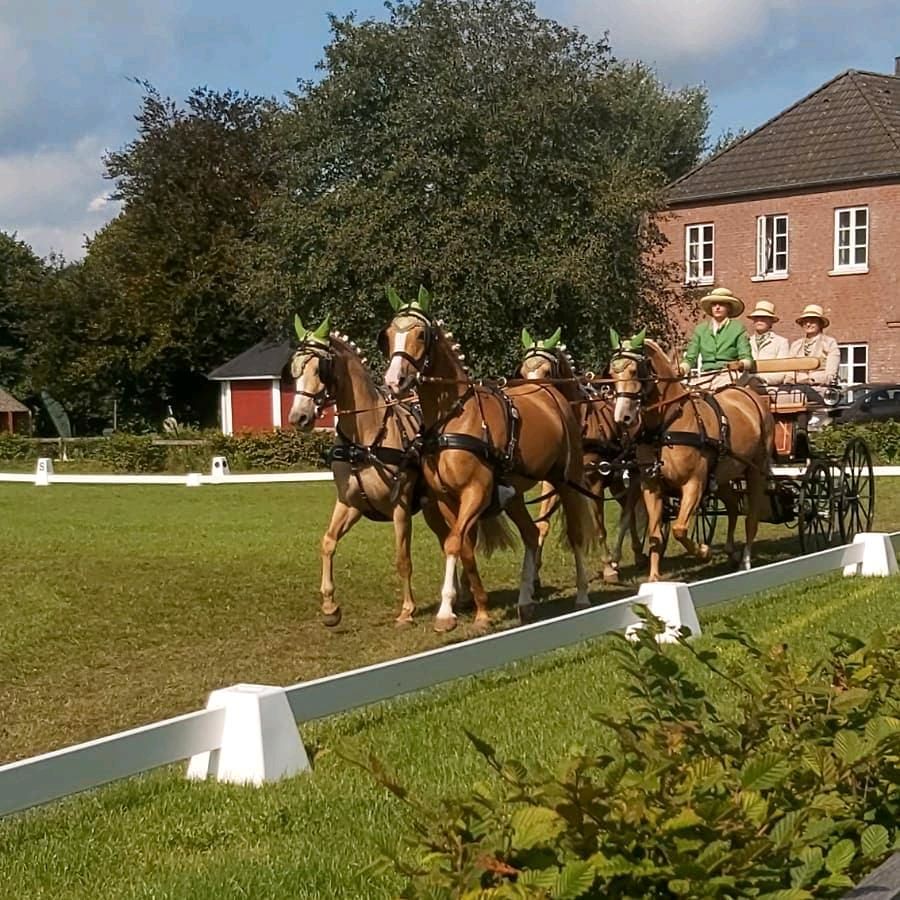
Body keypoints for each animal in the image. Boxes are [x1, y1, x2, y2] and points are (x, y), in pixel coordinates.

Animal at [288, 314, 474, 624]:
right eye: (294, 368)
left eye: (319, 368)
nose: (298, 417)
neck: (365, 438)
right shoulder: (350, 503)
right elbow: (327, 542)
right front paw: (330, 607)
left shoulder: (400, 507)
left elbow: (403, 559)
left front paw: (407, 610)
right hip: (434, 508)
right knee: (449, 538)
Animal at [382, 288, 596, 632]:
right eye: (389, 334)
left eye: (421, 334)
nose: (394, 379)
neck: (453, 418)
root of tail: (550, 393)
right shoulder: (447, 499)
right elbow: (462, 545)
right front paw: (478, 609)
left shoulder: (476, 491)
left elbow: (454, 544)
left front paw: (447, 612)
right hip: (515, 494)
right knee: (531, 533)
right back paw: (525, 602)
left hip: (566, 481)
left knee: (574, 535)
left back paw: (582, 595)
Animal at [512, 330, 648, 584]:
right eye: (523, 372)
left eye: (547, 372)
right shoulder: (553, 481)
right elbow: (542, 524)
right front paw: (534, 574)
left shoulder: (593, 481)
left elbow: (598, 526)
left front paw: (608, 568)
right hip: (615, 480)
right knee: (629, 508)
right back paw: (637, 553)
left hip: (632, 474)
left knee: (629, 510)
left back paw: (627, 555)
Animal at [608, 330, 776, 584]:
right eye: (611, 373)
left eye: (635, 371)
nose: (622, 418)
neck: (666, 426)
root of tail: (748, 394)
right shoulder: (651, 485)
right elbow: (655, 534)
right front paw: (654, 578)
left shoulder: (694, 484)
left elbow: (679, 529)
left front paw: (704, 551)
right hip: (723, 476)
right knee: (733, 506)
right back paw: (732, 552)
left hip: (755, 471)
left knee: (751, 518)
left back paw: (745, 561)